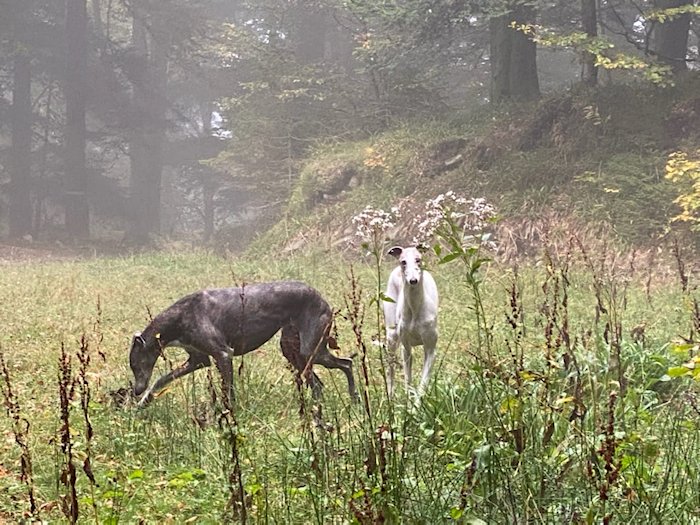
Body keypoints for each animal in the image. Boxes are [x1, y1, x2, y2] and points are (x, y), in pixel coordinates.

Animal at [129, 281, 357, 406]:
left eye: (136, 365)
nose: (137, 391)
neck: (181, 316)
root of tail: (321, 297)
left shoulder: (223, 355)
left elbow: (228, 393)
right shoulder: (198, 360)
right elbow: (160, 380)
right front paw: (143, 403)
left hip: (311, 350)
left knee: (346, 364)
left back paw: (350, 400)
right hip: (293, 351)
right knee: (321, 381)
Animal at [383, 246, 439, 397]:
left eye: (418, 259)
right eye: (403, 262)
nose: (413, 280)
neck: (415, 308)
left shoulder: (430, 349)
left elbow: (422, 385)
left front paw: (417, 403)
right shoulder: (406, 348)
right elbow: (408, 382)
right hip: (392, 336)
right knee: (390, 370)